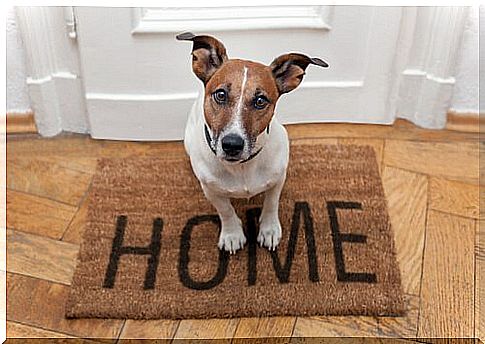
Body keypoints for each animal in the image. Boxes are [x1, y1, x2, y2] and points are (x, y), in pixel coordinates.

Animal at [176, 32, 328, 253]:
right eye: (220, 94)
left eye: (260, 100)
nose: (232, 144)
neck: (242, 167)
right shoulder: (211, 191)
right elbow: (226, 210)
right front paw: (232, 234)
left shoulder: (278, 178)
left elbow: (271, 203)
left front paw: (269, 229)